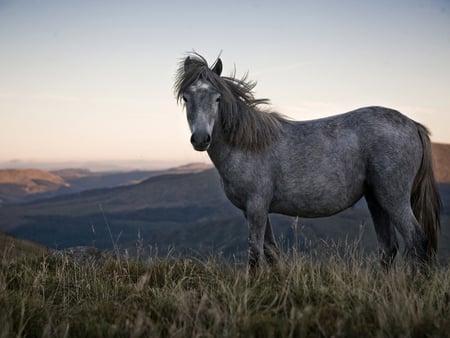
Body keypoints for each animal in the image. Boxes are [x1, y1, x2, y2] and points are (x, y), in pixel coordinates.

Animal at [174, 53, 442, 270]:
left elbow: (255, 255)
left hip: (394, 198)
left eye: (217, 98)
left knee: (417, 241)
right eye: (186, 98)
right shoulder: (252, 210)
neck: (247, 145)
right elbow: (271, 252)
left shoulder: (257, 207)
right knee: (389, 248)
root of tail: (413, 125)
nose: (201, 139)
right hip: (376, 199)